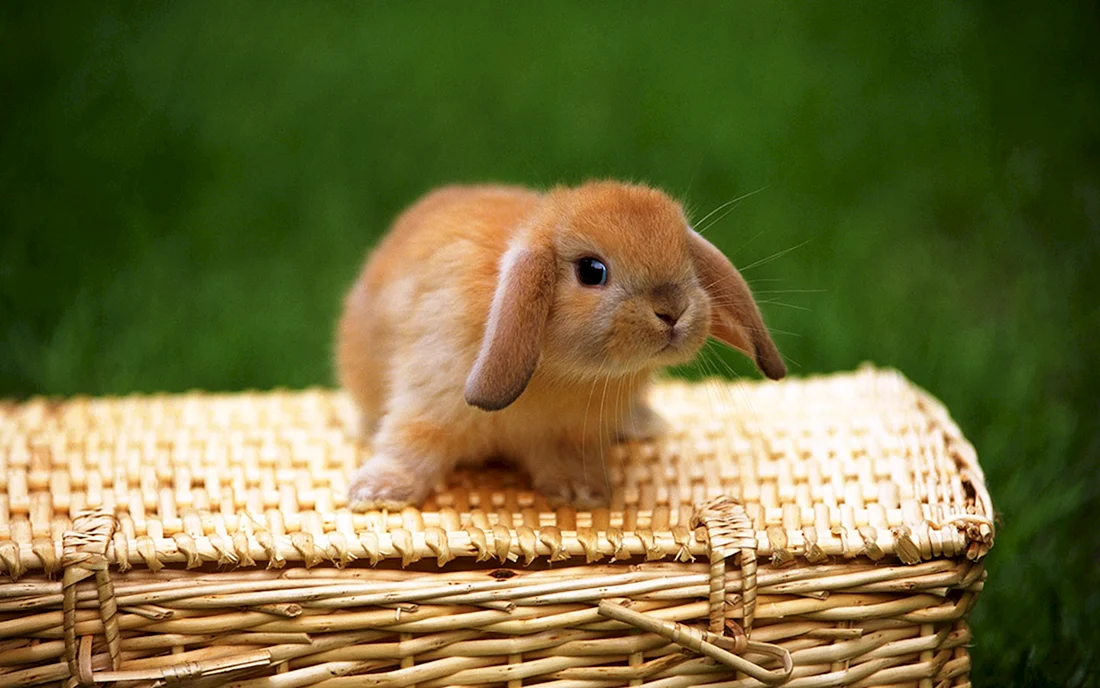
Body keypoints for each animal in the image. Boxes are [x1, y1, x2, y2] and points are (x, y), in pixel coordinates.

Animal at [336, 181, 785, 510]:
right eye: (592, 271)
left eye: (687, 261)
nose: (672, 310)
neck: (561, 372)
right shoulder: (428, 403)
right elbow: (409, 446)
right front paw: (375, 493)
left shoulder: (571, 434)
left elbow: (567, 459)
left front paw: (581, 494)